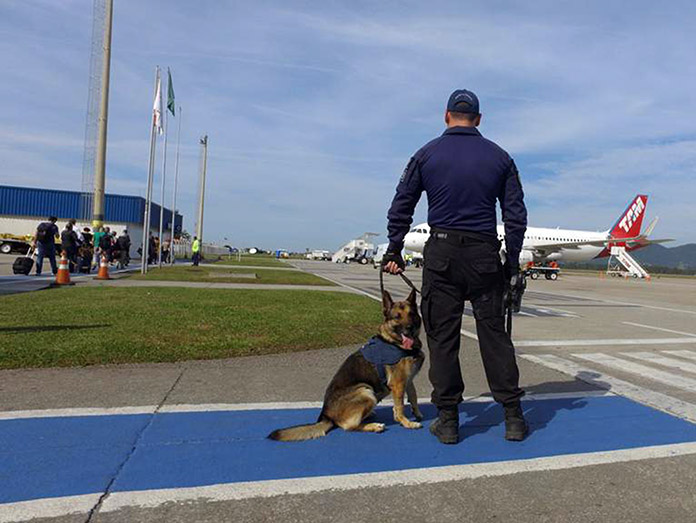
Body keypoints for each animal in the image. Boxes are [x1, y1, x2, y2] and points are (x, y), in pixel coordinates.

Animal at [270, 286, 424, 442]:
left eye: (411, 314)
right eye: (397, 317)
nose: (410, 328)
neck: (394, 342)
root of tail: (326, 415)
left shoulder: (408, 380)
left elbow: (413, 397)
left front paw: (417, 414)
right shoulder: (398, 384)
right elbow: (400, 407)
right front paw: (406, 422)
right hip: (366, 392)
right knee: (349, 426)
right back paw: (374, 426)